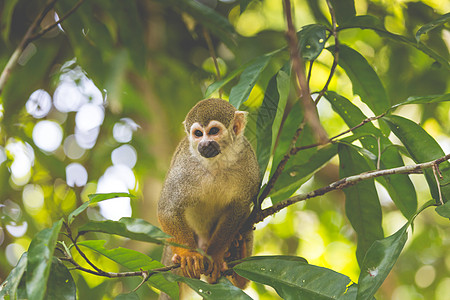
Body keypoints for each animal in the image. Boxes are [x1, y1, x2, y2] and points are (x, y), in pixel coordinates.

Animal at [157, 99, 258, 292]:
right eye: (198, 134)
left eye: (213, 131)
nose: (203, 145)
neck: (217, 163)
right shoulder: (184, 167)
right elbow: (168, 209)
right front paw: (188, 255)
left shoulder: (248, 162)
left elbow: (239, 208)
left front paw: (215, 255)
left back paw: (237, 262)